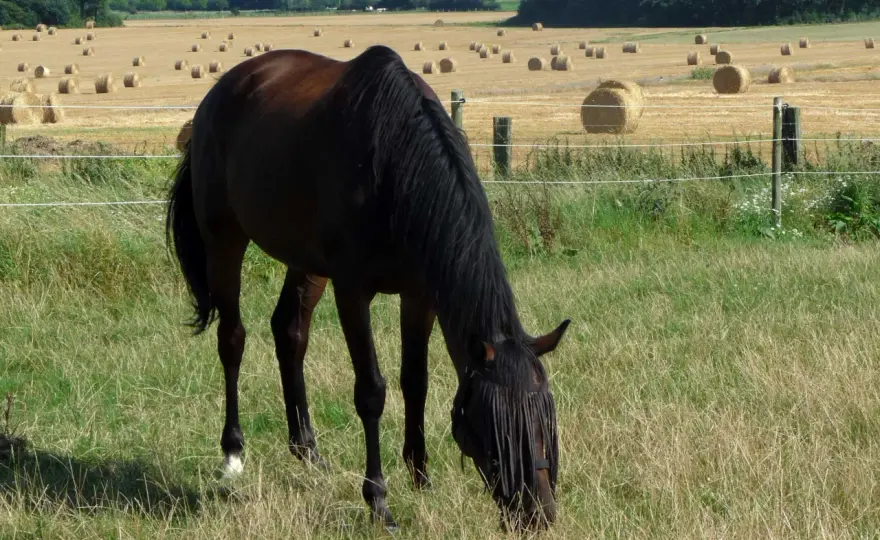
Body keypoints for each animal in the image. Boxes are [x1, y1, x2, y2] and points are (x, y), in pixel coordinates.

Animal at [165, 44, 571, 531]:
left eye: (547, 421)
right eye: (495, 425)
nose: (538, 514)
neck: (395, 164)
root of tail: (217, 94)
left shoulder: (420, 294)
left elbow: (415, 381)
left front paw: (421, 477)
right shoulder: (352, 291)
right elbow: (372, 392)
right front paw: (378, 501)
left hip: (306, 263)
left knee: (289, 331)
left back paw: (308, 451)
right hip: (224, 240)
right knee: (232, 340)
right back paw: (232, 455)